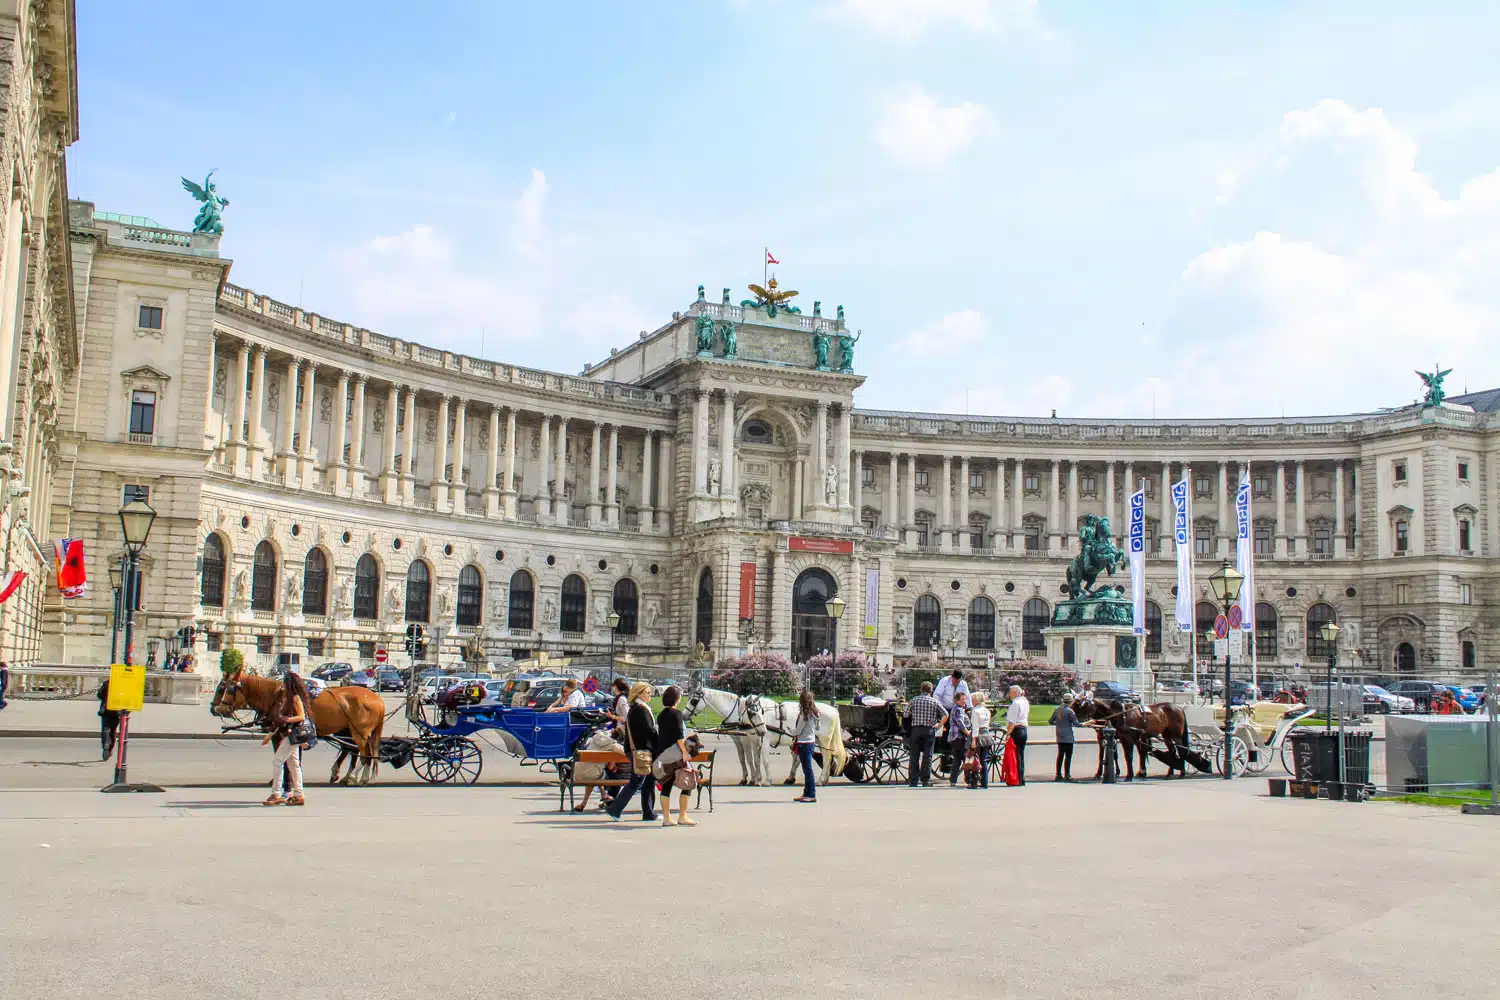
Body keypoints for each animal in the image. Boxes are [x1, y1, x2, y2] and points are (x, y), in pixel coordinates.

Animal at [213, 677, 387, 785]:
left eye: (225, 690)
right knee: (354, 750)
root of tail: (378, 699)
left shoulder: (280, 734)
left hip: (360, 732)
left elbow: (282, 757)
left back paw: (358, 778)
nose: (216, 709)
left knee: (365, 754)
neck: (277, 698)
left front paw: (279, 779)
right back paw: (347, 776)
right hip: (350, 730)